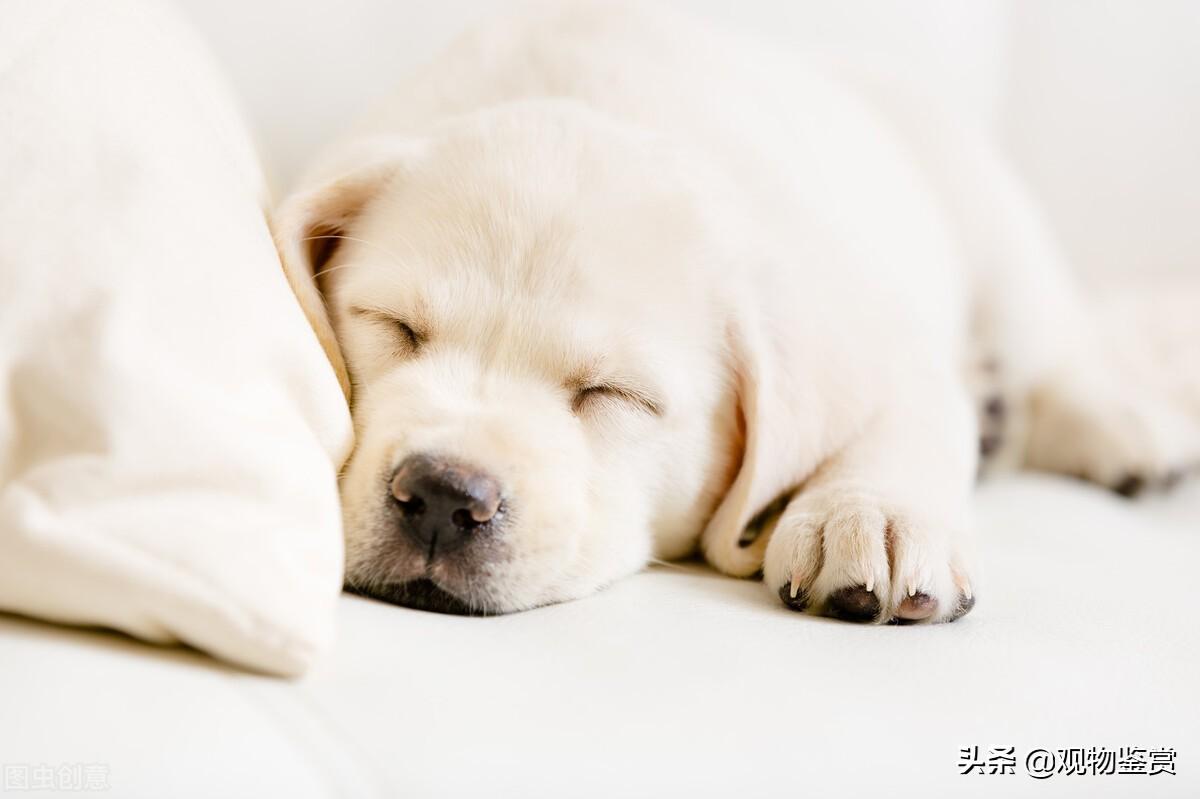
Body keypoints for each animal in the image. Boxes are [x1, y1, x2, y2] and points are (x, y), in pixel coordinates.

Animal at [274, 1, 1200, 623]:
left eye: (616, 395)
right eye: (393, 326)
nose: (441, 495)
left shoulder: (885, 338)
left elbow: (915, 418)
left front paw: (874, 512)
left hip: (1001, 235)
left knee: (1058, 354)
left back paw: (1120, 428)